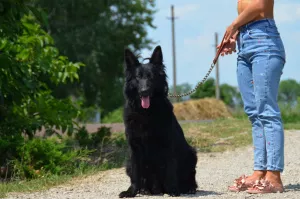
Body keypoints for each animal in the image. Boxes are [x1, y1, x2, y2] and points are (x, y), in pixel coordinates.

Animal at [118, 45, 198, 197]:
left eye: (151, 77)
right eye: (138, 77)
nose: (144, 91)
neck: (146, 112)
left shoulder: (167, 145)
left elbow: (170, 170)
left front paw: (173, 190)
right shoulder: (134, 148)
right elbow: (136, 174)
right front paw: (131, 191)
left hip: (191, 154)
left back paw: (187, 188)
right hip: (128, 163)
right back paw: (144, 189)